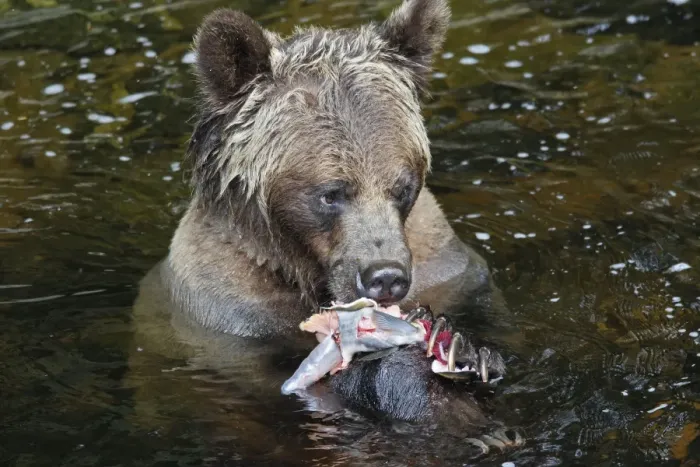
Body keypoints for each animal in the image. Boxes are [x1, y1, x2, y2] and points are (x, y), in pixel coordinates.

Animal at [128, 0, 522, 463]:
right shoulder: (227, 313)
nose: (385, 277)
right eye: (331, 193)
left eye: (402, 186)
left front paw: (468, 351)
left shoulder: (441, 263)